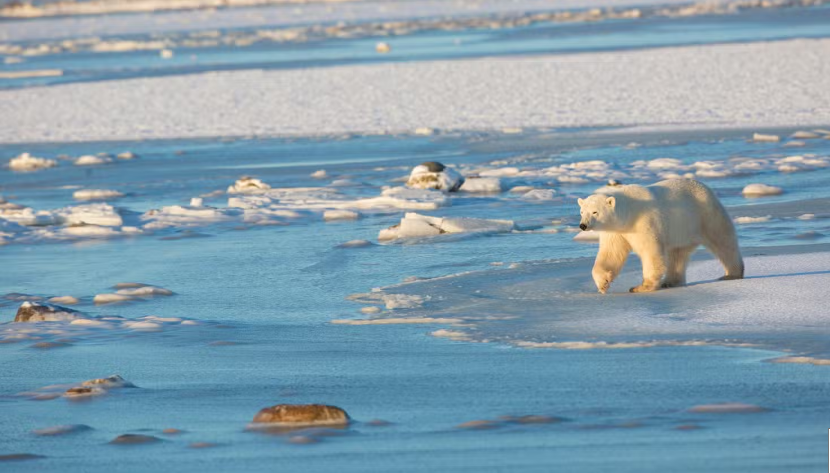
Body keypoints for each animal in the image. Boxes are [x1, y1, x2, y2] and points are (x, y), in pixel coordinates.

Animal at [580, 179, 748, 294]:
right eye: (582, 211)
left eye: (595, 212)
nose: (583, 225)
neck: (628, 213)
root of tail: (705, 188)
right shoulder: (616, 231)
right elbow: (611, 253)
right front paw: (603, 283)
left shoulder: (644, 222)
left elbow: (650, 251)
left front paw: (641, 287)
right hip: (682, 229)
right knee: (678, 254)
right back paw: (670, 281)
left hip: (705, 215)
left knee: (723, 241)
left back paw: (732, 273)